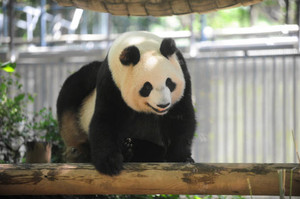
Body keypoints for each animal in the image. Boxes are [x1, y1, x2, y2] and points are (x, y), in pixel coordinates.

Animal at [56, 31, 197, 176]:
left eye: (169, 82)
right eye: (147, 87)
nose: (163, 105)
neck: (140, 42)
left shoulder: (183, 72)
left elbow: (180, 117)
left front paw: (181, 158)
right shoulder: (111, 81)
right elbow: (106, 118)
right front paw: (109, 163)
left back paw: (131, 148)